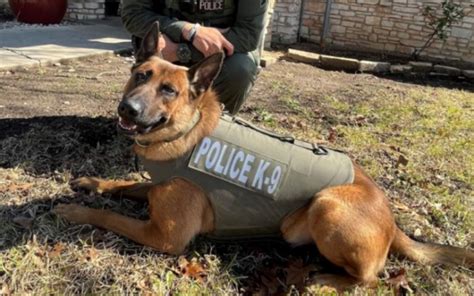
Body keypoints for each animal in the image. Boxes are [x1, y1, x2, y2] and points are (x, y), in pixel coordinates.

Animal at [53, 22, 472, 290]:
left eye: (169, 90)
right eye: (140, 75)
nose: (128, 109)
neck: (187, 132)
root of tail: (392, 220)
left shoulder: (165, 236)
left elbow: (109, 216)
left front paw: (74, 210)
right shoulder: (158, 187)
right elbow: (125, 183)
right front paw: (92, 182)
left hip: (327, 206)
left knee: (370, 279)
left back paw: (326, 280)